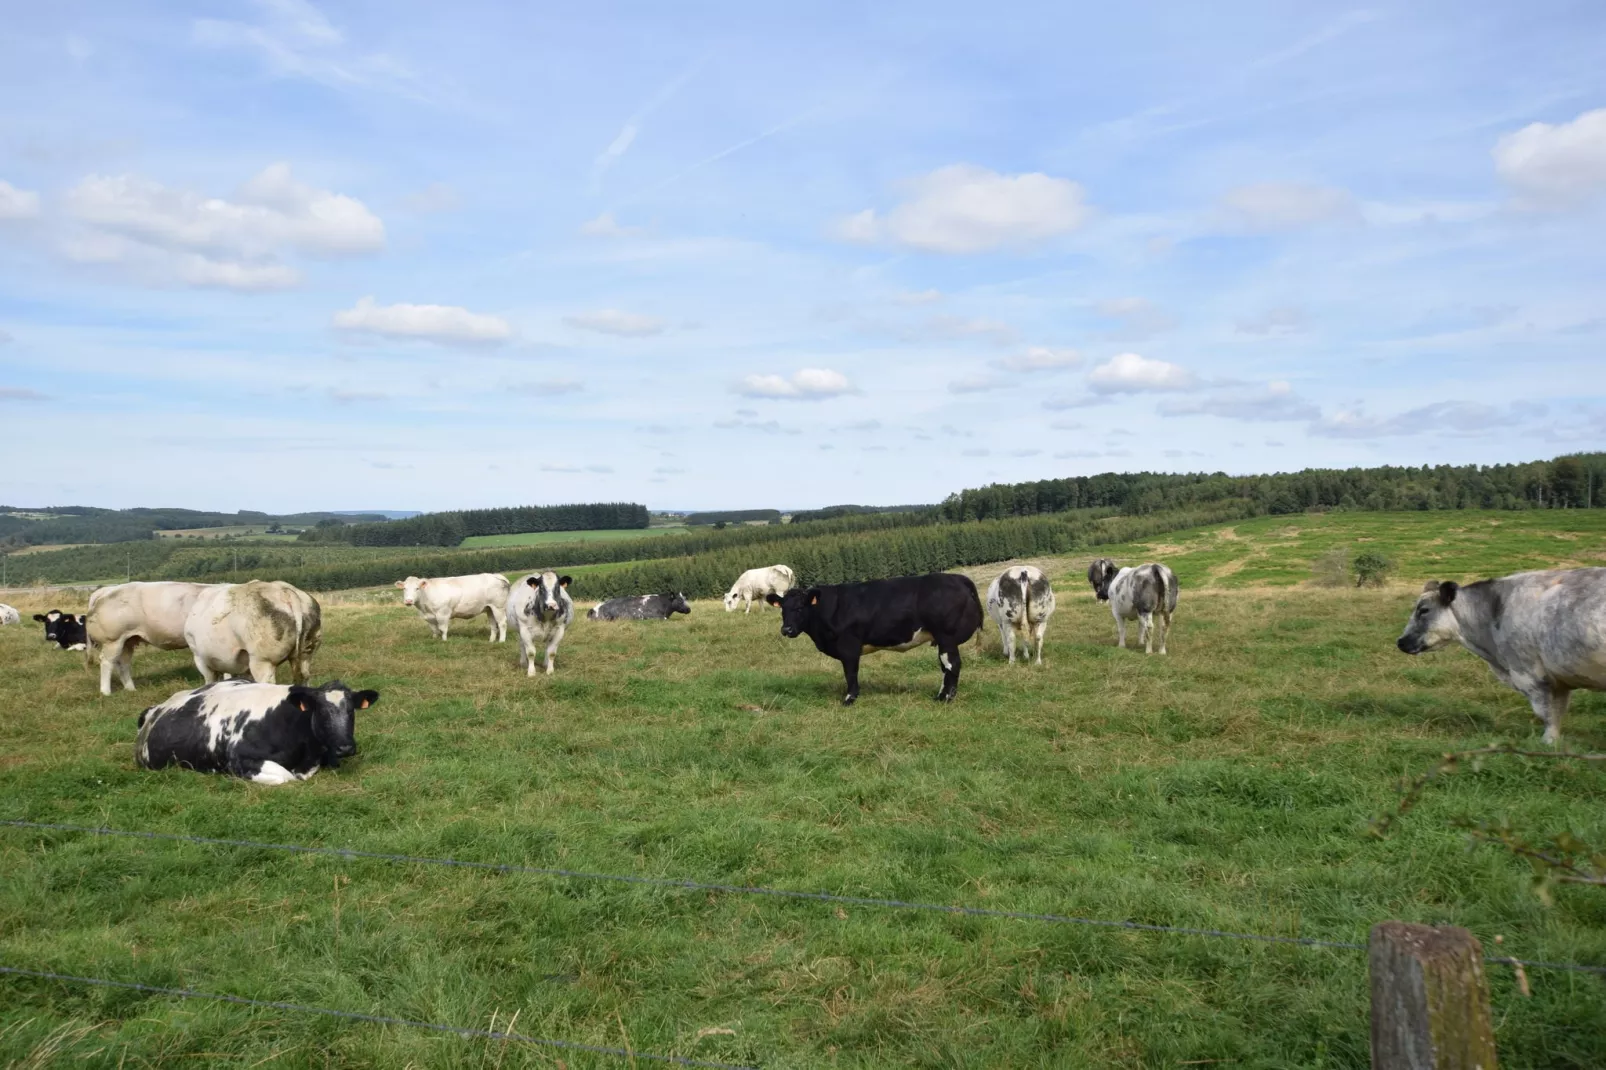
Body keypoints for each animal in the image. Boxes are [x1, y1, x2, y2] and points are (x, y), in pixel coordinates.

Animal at [83, 578, 215, 697]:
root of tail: (106, 590)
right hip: (112, 640)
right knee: (107, 662)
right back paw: (106, 692)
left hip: (127, 641)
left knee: (123, 663)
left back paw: (131, 689)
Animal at [135, 674, 375, 784]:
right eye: (322, 712)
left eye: (351, 711)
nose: (345, 748)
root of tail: (157, 708)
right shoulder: (241, 759)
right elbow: (286, 777)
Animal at [761, 571, 976, 703]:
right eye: (783, 610)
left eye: (800, 608)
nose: (787, 629)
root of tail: (957, 578)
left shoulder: (848, 645)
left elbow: (850, 673)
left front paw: (849, 698)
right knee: (945, 667)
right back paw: (941, 695)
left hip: (946, 636)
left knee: (952, 665)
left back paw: (945, 698)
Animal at [1394, 565, 1606, 742]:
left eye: (1423, 610)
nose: (1401, 641)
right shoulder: (1559, 682)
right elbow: (1558, 712)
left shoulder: (1530, 675)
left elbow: (1547, 715)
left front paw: (1548, 743)